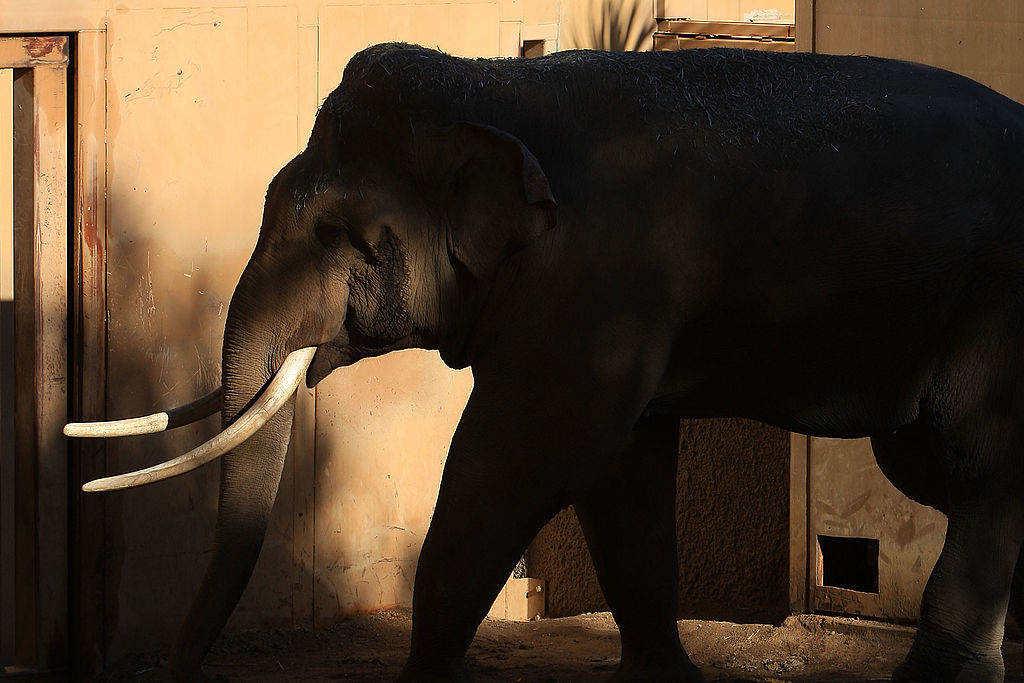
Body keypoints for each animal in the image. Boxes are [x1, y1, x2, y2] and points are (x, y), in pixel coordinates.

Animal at [68, 44, 1024, 683]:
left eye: (344, 236)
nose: (183, 672)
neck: (494, 83)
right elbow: (623, 470)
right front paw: (662, 682)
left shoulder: (595, 283)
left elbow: (520, 457)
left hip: (999, 311)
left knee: (978, 465)